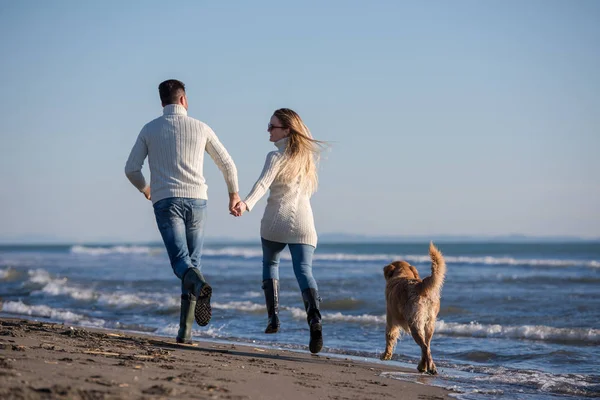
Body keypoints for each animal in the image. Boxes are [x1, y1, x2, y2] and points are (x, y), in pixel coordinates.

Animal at [380, 242, 446, 376]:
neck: (403, 274)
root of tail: (420, 286)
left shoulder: (390, 319)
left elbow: (389, 337)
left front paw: (386, 355)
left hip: (414, 324)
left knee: (424, 347)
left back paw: (430, 368)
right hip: (429, 324)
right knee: (427, 346)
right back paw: (424, 366)